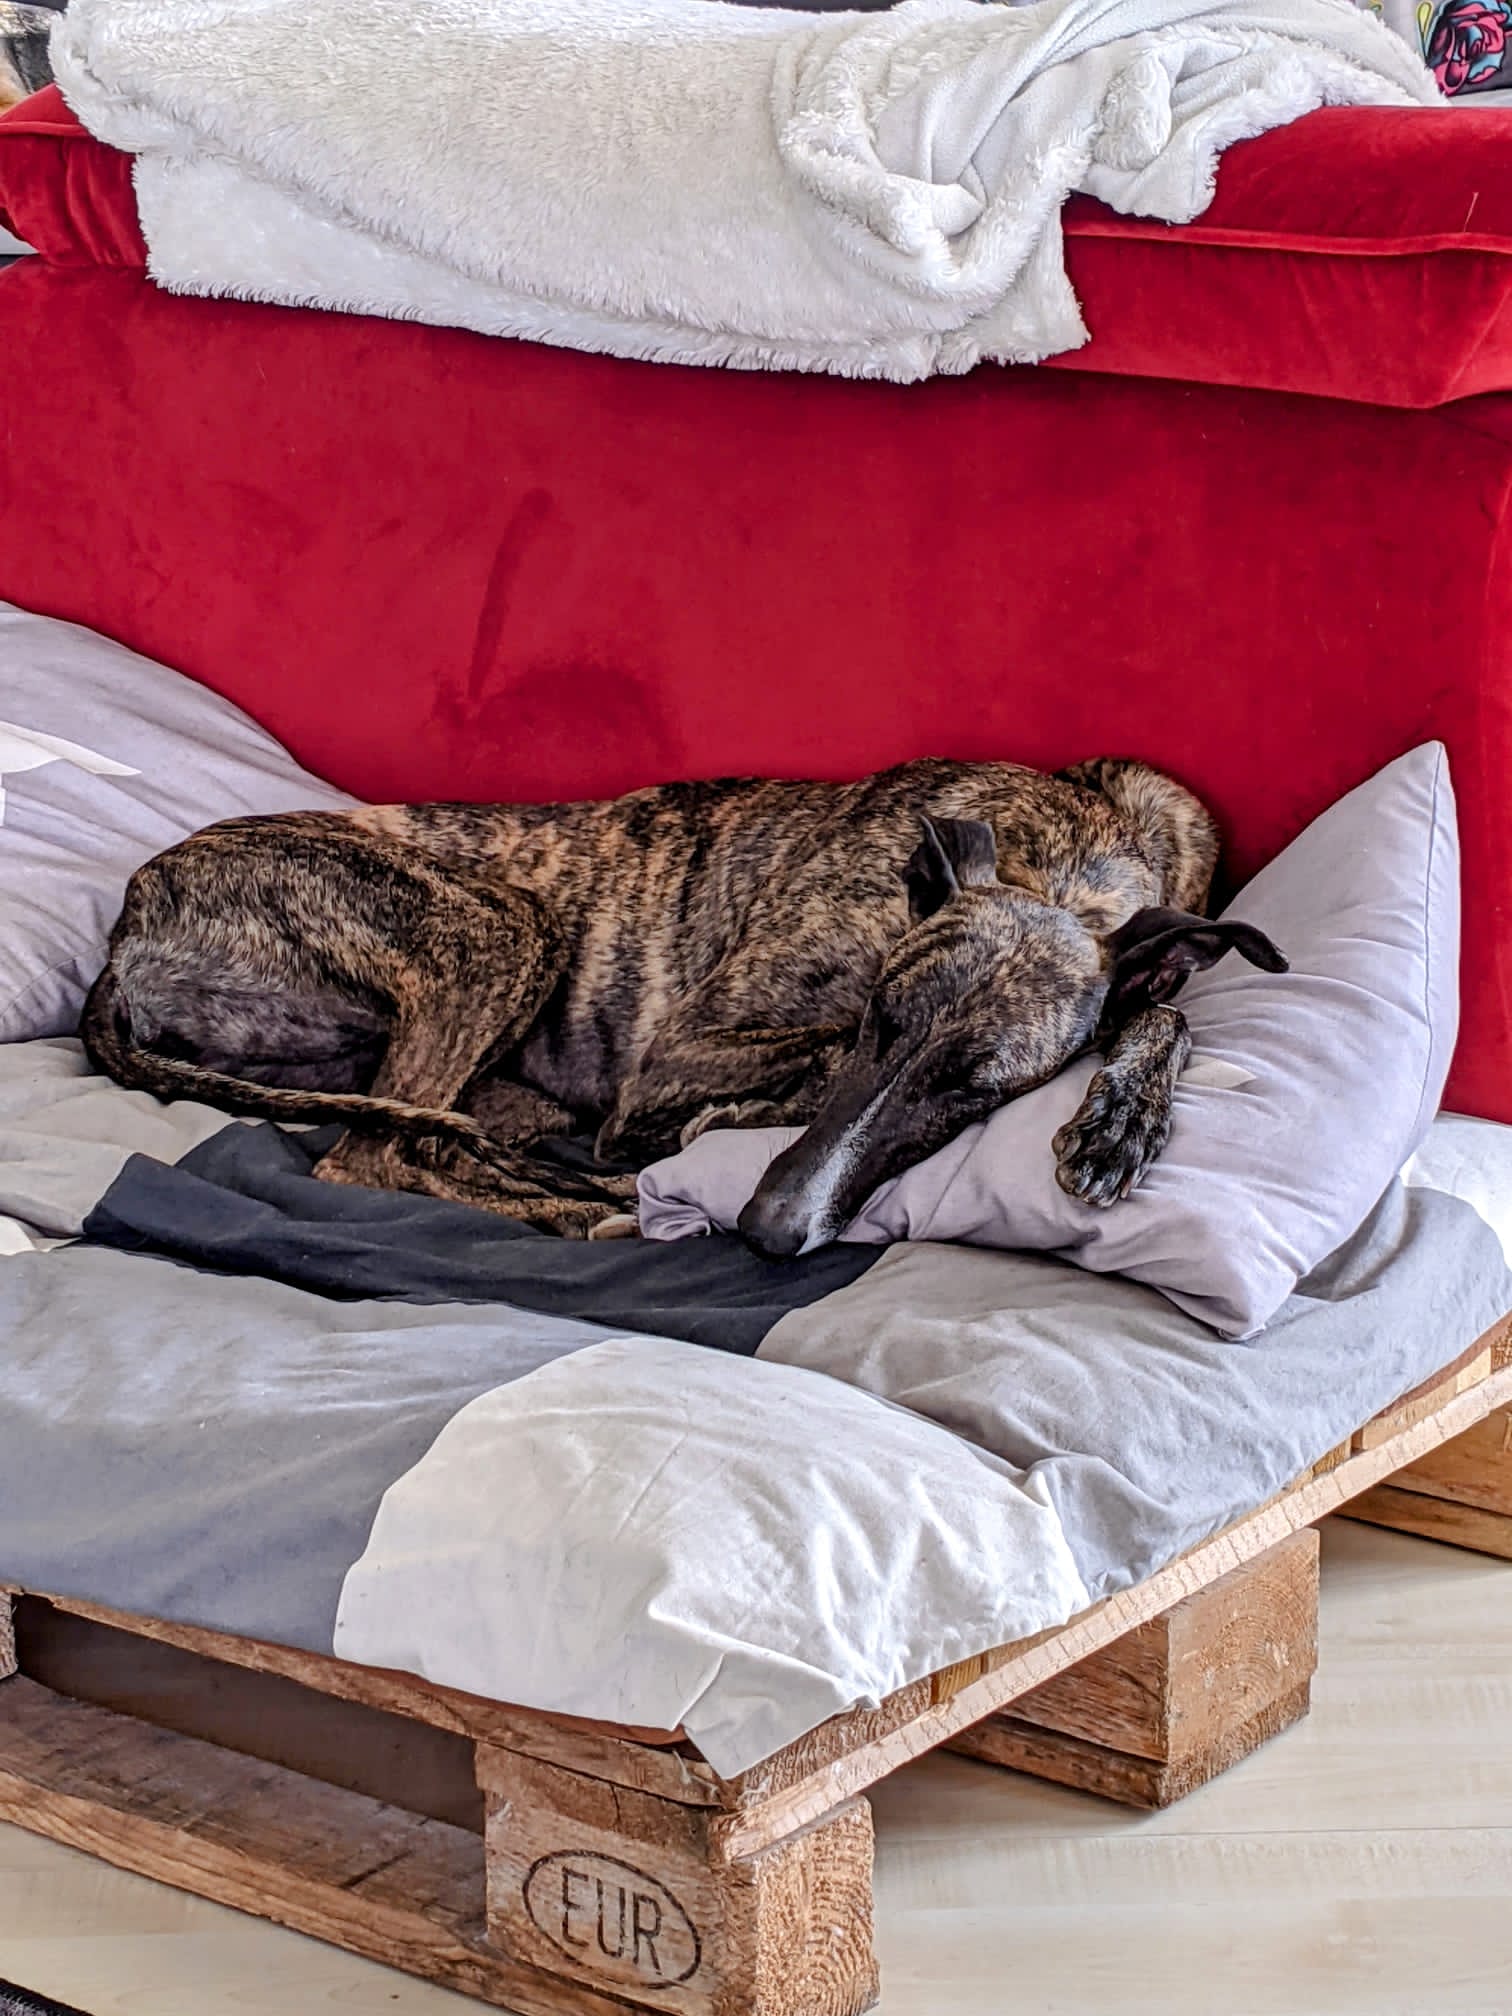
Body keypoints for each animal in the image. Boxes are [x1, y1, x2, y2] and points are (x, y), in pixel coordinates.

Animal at [81, 756, 1286, 1255]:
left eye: (974, 1085)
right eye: (881, 1020)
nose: (770, 1227)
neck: (1062, 861)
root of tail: (130, 917)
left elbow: (1163, 1010)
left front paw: (1120, 1121)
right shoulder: (684, 1052)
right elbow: (795, 1058)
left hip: (481, 1063)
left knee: (428, 1145)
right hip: (497, 924)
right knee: (362, 1163)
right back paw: (593, 1202)